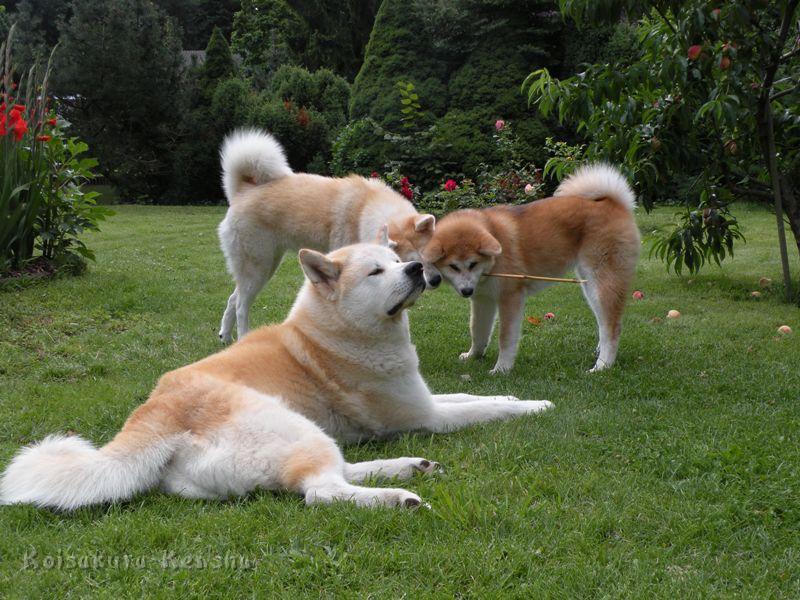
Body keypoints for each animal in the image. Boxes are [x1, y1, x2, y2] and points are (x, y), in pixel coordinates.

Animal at [0, 241, 552, 508]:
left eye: (397, 260)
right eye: (377, 272)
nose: (417, 268)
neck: (334, 332)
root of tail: (152, 415)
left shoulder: (425, 400)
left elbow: (471, 396)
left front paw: (515, 398)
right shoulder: (426, 417)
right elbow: (476, 410)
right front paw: (536, 406)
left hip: (301, 437)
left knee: (332, 472)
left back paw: (406, 468)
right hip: (291, 425)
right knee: (322, 491)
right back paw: (399, 497)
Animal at [216, 129, 438, 342]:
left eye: (433, 257)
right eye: (412, 260)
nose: (436, 280)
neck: (364, 209)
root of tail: (242, 191)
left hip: (264, 267)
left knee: (233, 298)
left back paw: (225, 337)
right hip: (257, 268)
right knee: (241, 306)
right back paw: (242, 337)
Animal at [422, 164, 640, 376]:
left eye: (473, 263)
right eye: (453, 266)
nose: (467, 291)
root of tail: (614, 202)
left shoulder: (510, 298)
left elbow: (505, 338)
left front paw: (502, 368)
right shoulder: (483, 299)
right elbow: (477, 331)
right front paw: (473, 356)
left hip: (601, 283)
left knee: (612, 327)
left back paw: (602, 365)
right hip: (589, 287)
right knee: (603, 322)